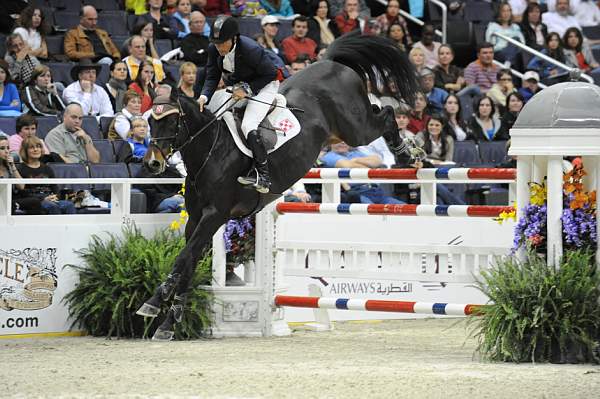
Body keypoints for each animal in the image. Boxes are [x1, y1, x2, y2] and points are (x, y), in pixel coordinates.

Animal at [137, 32, 418, 342]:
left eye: (172, 120)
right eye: (150, 120)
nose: (152, 164)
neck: (210, 149)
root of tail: (331, 62)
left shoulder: (215, 216)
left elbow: (184, 258)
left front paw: (155, 300)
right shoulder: (197, 219)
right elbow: (188, 262)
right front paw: (166, 321)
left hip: (355, 128)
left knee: (386, 113)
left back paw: (406, 152)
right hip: (339, 134)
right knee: (381, 111)